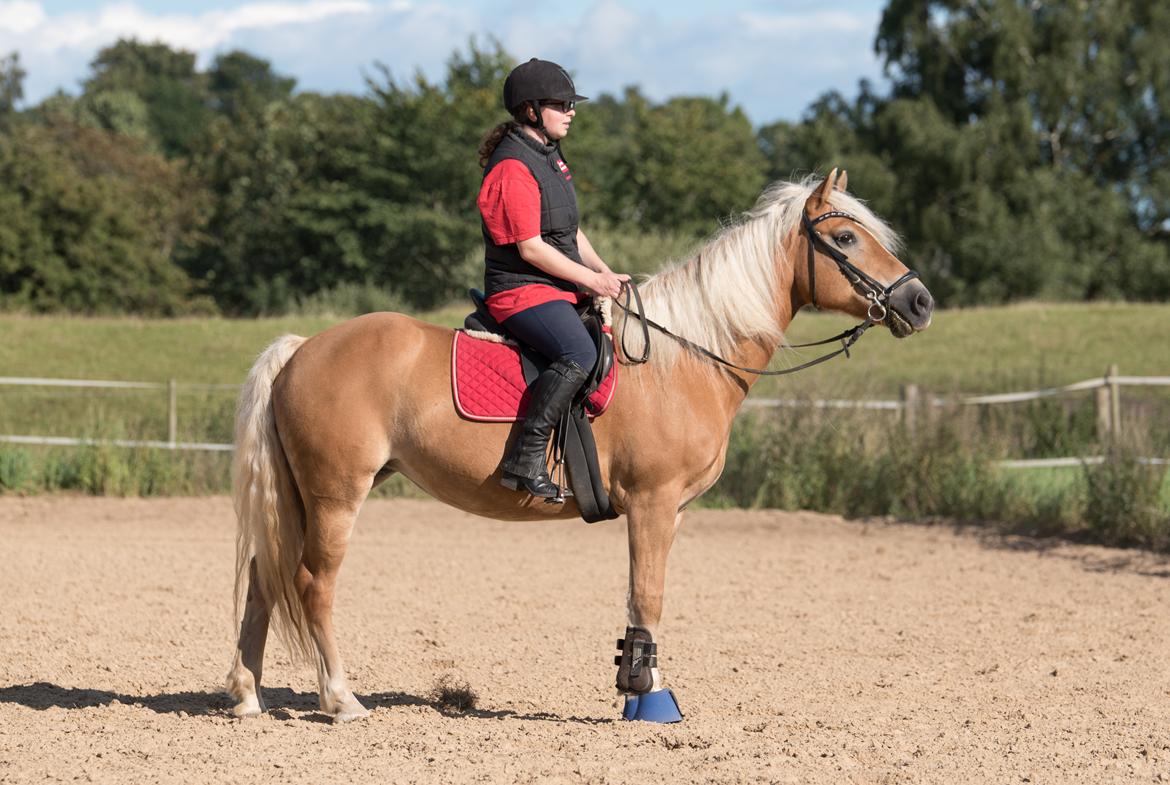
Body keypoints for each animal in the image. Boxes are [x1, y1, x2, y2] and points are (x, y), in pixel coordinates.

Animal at [228, 168, 935, 720]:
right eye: (845, 238)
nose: (920, 302)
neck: (685, 359)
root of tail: (302, 349)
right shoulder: (652, 503)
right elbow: (648, 595)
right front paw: (647, 697)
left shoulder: (670, 512)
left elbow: (645, 595)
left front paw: (640, 685)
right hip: (336, 494)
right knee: (313, 583)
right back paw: (341, 699)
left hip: (309, 495)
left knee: (265, 579)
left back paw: (247, 695)